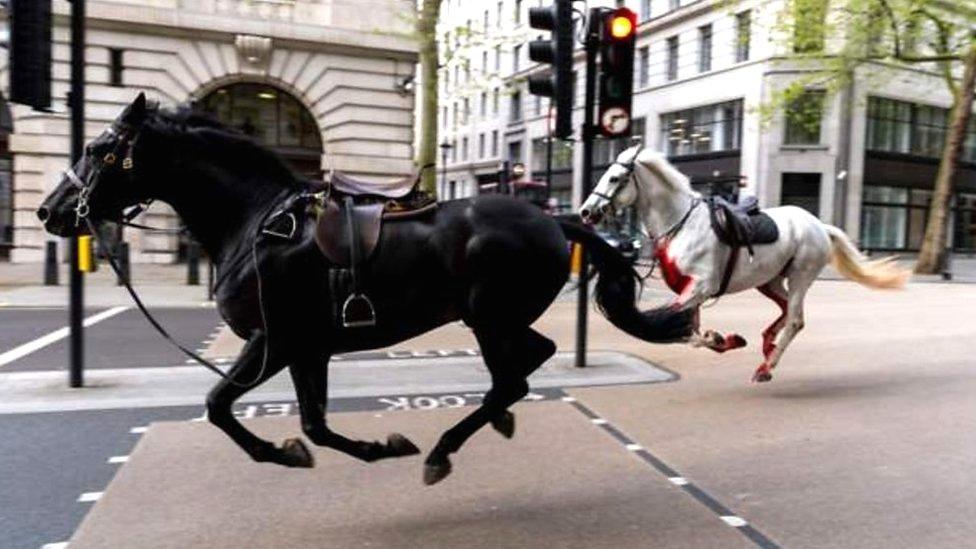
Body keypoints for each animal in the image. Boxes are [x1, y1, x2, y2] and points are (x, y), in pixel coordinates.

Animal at [38, 94, 692, 484]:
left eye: (99, 149)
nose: (50, 211)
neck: (255, 222)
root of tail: (554, 221)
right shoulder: (307, 348)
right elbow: (313, 424)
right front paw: (369, 447)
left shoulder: (274, 341)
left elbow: (221, 405)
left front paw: (287, 453)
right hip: (497, 318)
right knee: (530, 362)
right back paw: (493, 422)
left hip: (488, 318)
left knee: (513, 377)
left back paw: (444, 449)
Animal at [580, 146, 908, 382]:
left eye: (614, 178)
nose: (586, 211)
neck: (682, 224)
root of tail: (819, 225)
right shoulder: (690, 290)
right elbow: (690, 331)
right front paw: (724, 339)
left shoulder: (701, 287)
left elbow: (674, 328)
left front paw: (722, 338)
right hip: (770, 280)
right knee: (787, 310)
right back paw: (767, 347)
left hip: (801, 276)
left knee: (795, 319)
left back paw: (766, 367)